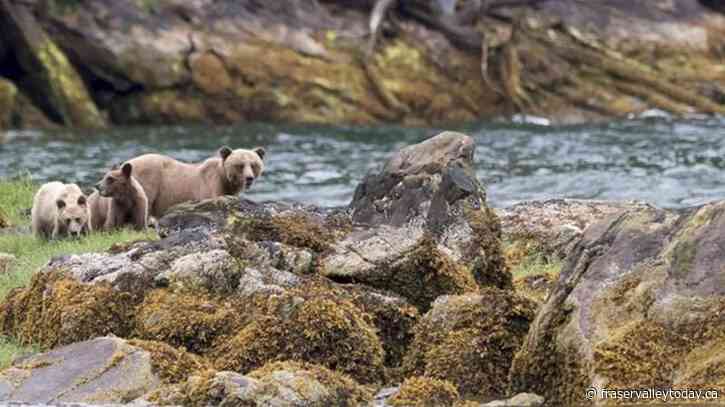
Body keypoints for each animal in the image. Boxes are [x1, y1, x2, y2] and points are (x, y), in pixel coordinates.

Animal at [124, 146, 265, 217]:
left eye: (254, 164)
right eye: (240, 165)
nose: (249, 178)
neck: (225, 179)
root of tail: (128, 162)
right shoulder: (211, 186)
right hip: (148, 180)